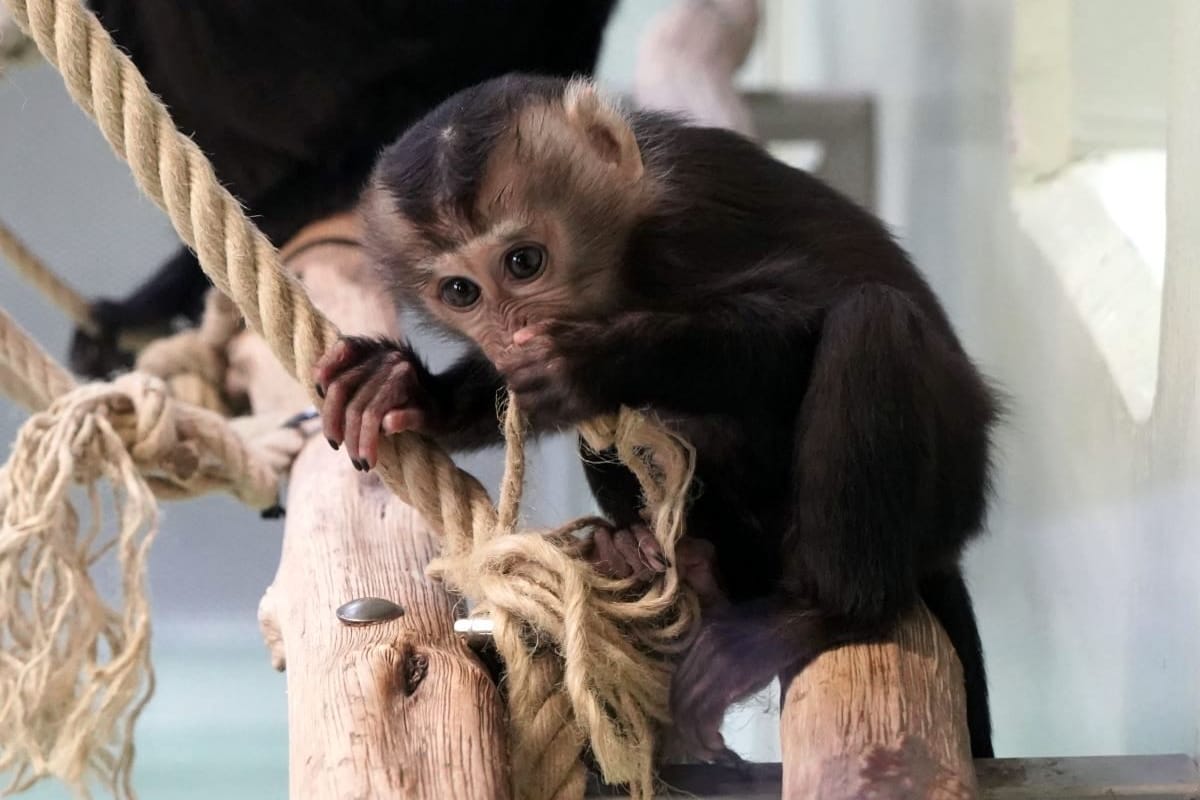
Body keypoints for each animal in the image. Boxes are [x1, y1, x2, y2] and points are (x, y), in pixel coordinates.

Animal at [314, 73, 998, 762]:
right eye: (461, 292)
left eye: (524, 262)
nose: (511, 334)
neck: (627, 259)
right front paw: (410, 390)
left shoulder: (692, 219)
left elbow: (810, 309)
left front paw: (592, 363)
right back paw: (661, 561)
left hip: (944, 498)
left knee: (871, 319)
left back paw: (825, 612)